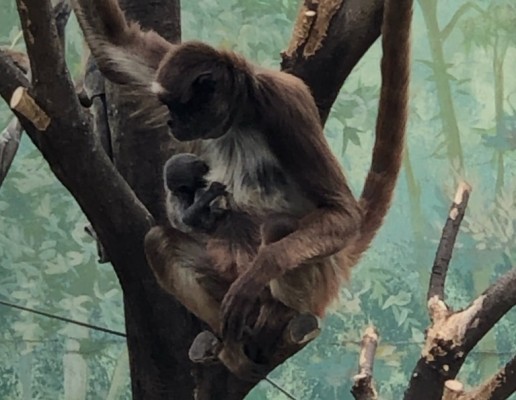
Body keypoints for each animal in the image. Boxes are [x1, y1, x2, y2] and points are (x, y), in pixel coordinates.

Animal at [71, 0, 412, 354]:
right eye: (167, 105)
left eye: (179, 106)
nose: (170, 122)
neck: (240, 116)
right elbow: (113, 44)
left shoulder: (284, 104)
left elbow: (343, 213)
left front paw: (263, 267)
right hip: (223, 278)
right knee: (158, 242)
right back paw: (231, 346)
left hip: (318, 282)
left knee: (279, 227)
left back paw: (277, 311)